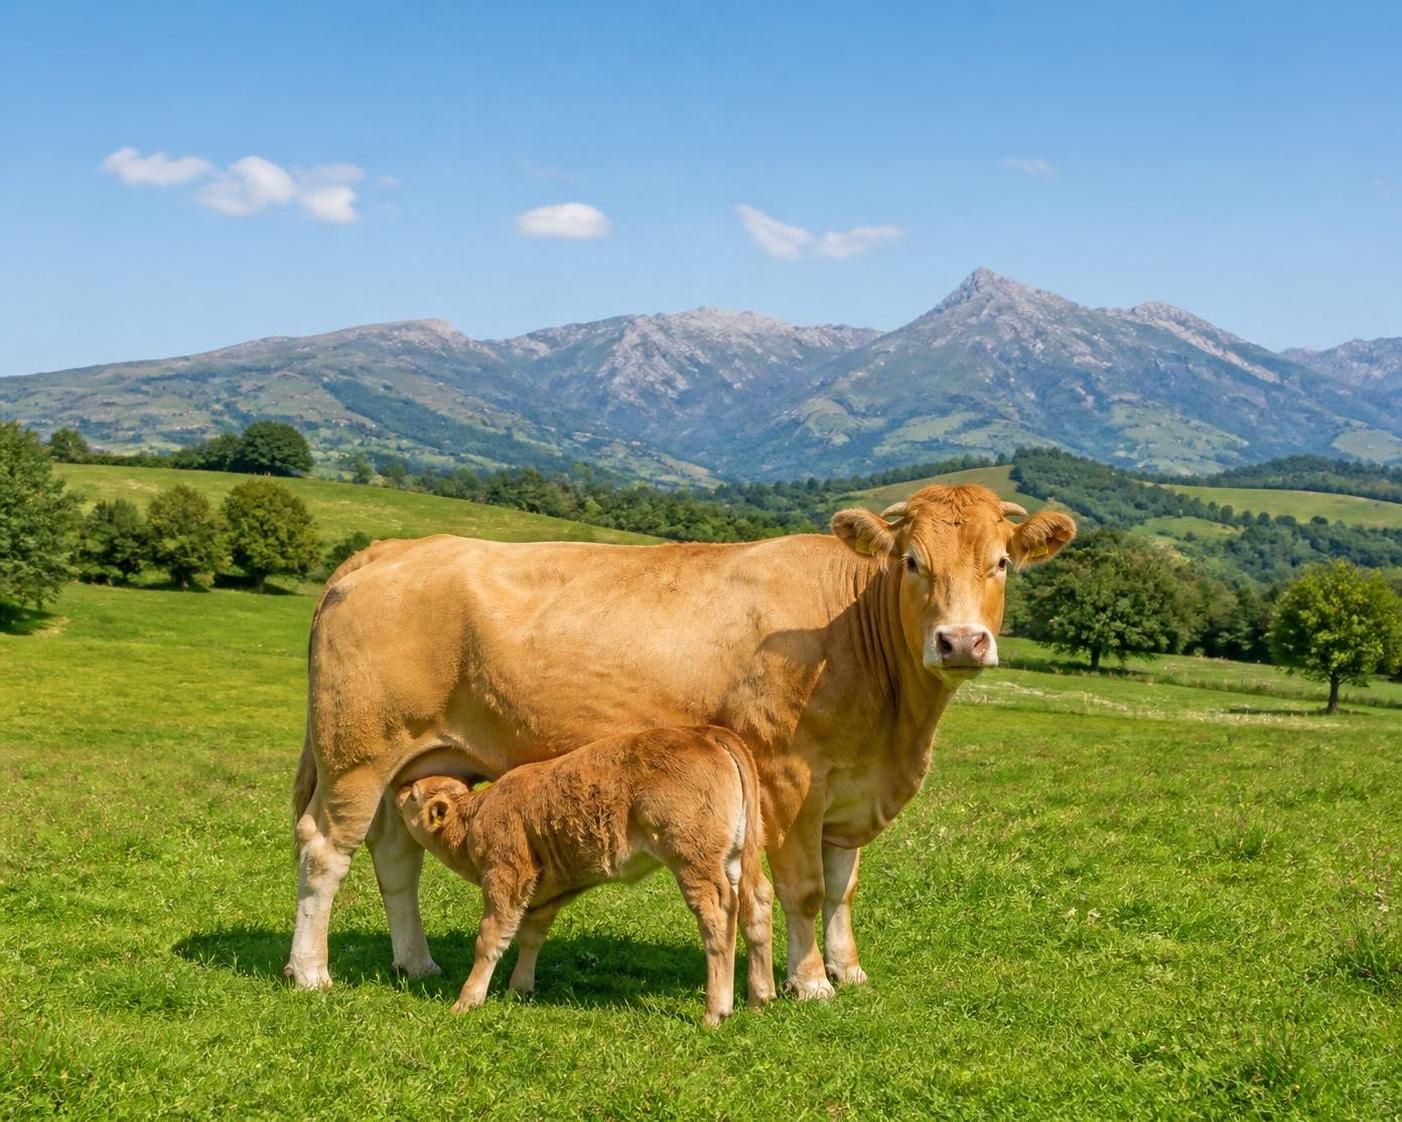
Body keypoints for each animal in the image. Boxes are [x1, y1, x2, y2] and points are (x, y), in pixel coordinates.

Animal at [395, 725, 770, 1025]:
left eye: (413, 793)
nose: (398, 789)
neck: (474, 817)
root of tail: (704, 733)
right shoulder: (543, 892)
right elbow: (530, 936)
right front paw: (519, 989)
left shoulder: (507, 876)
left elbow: (491, 937)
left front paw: (467, 1000)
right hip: (734, 858)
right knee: (756, 902)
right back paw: (760, 999)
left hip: (693, 859)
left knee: (718, 915)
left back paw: (715, 1012)